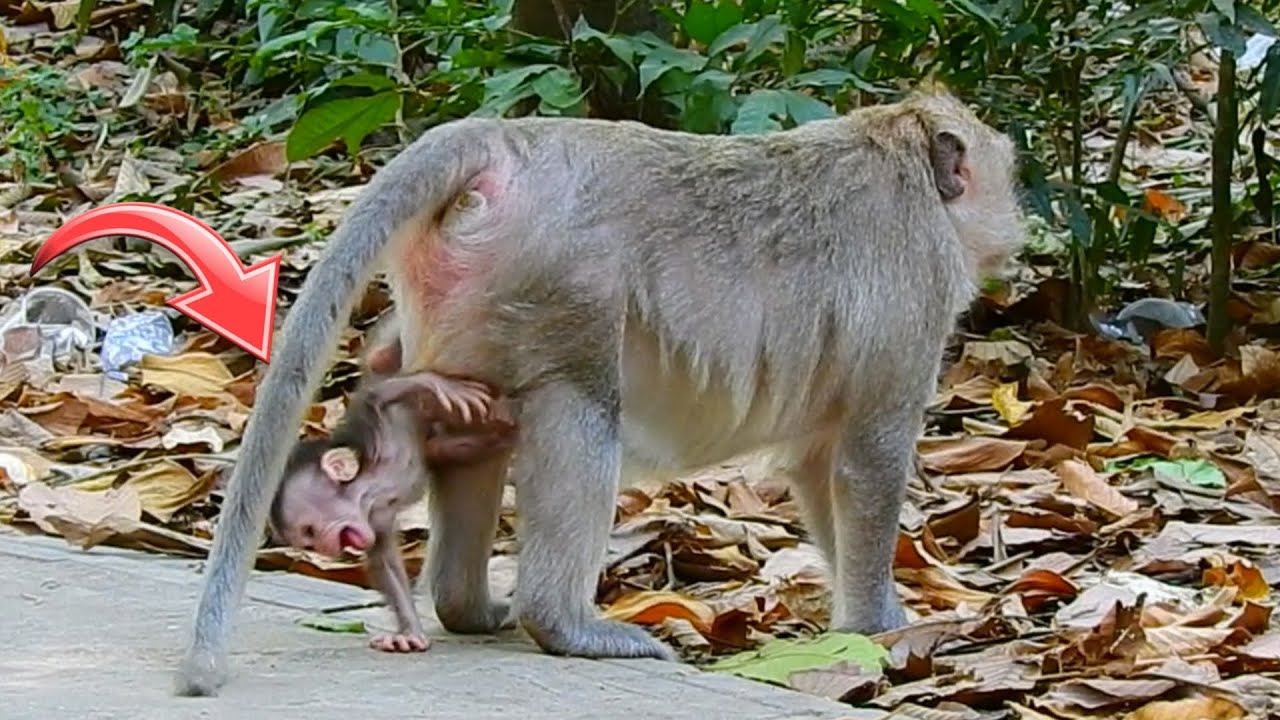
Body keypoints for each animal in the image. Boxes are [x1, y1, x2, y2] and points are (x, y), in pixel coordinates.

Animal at [174, 87, 1026, 696]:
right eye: (1008, 175)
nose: (1020, 217)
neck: (898, 156)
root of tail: (504, 141)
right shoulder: (913, 295)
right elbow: (866, 463)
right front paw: (882, 626)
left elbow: (818, 469)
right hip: (557, 285)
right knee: (579, 410)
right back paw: (567, 624)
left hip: (472, 300)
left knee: (475, 434)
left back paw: (465, 606)